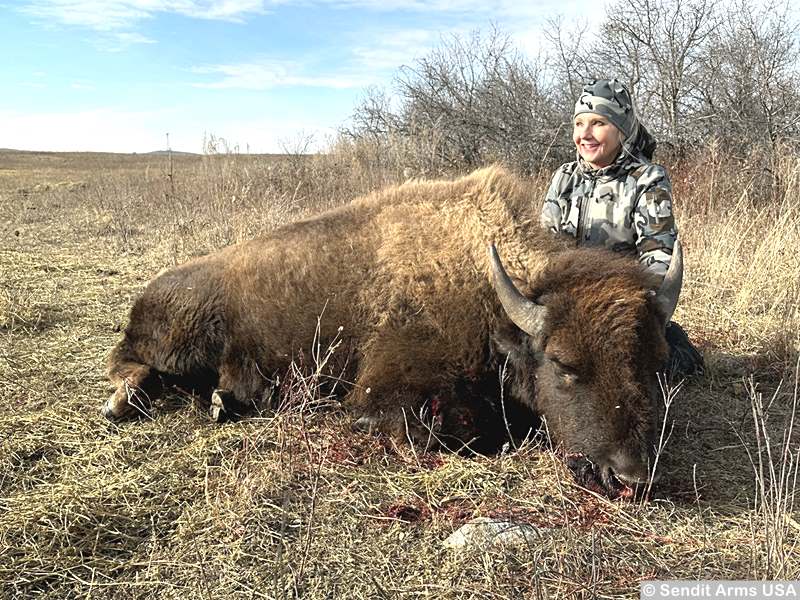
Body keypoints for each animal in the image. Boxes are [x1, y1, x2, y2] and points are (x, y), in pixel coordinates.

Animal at [105, 166, 681, 497]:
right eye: (562, 363)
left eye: (654, 364)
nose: (630, 476)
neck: (485, 285)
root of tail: (150, 292)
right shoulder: (385, 394)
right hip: (177, 341)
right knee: (128, 362)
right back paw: (122, 404)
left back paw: (223, 401)